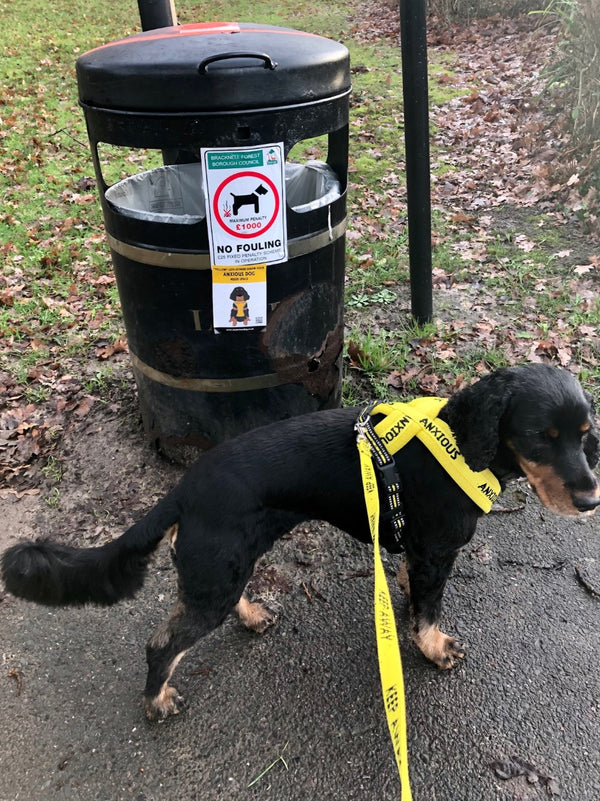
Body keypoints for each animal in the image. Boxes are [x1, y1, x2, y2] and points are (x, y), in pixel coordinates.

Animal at [1, 364, 600, 720]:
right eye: (538, 437)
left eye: (584, 434)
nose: (591, 500)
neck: (458, 442)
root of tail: (184, 490)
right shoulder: (438, 552)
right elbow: (428, 613)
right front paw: (433, 648)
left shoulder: (420, 552)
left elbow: (413, 590)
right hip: (216, 574)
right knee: (161, 644)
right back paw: (157, 700)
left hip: (227, 565)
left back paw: (251, 617)